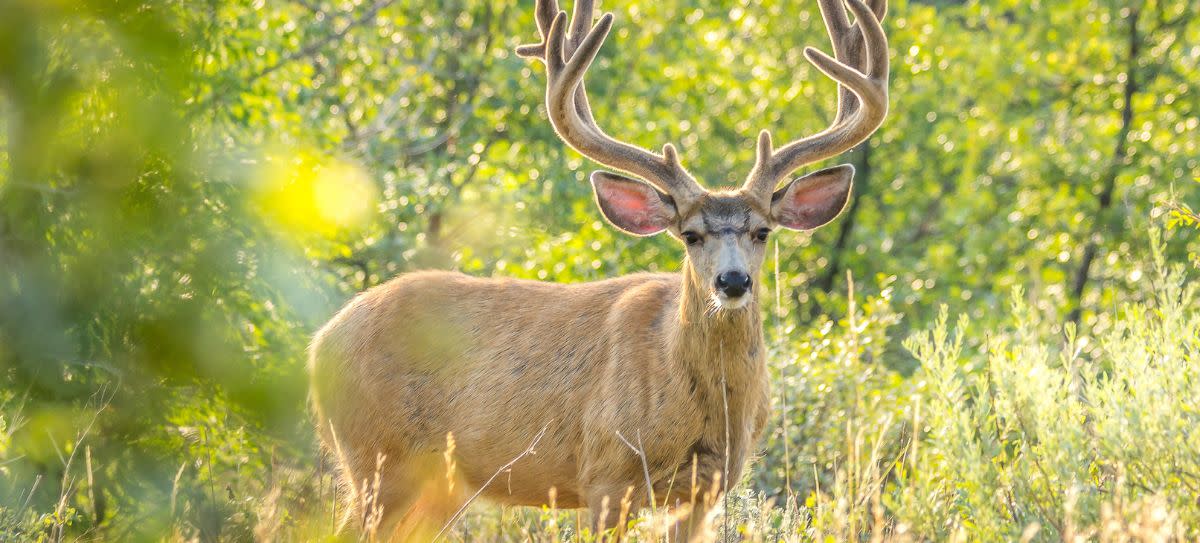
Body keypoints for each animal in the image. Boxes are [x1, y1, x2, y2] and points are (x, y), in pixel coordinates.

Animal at [309, 1, 892, 538]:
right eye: (690, 234)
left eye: (763, 232)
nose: (732, 281)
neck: (703, 408)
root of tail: (322, 340)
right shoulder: (607, 474)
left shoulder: (708, 490)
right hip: (378, 458)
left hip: (437, 485)